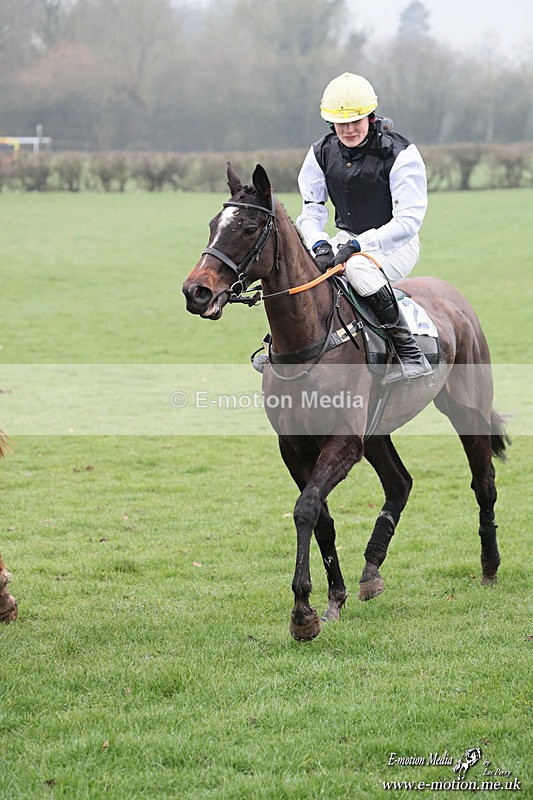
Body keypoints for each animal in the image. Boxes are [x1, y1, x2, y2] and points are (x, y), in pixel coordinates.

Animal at [182, 163, 508, 641]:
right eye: (212, 225)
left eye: (248, 228)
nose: (197, 292)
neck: (310, 339)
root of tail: (455, 299)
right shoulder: (295, 446)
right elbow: (320, 516)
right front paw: (332, 599)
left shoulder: (342, 443)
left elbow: (305, 508)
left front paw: (303, 613)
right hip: (377, 431)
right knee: (399, 483)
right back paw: (371, 571)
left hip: (466, 410)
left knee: (483, 482)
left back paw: (489, 568)